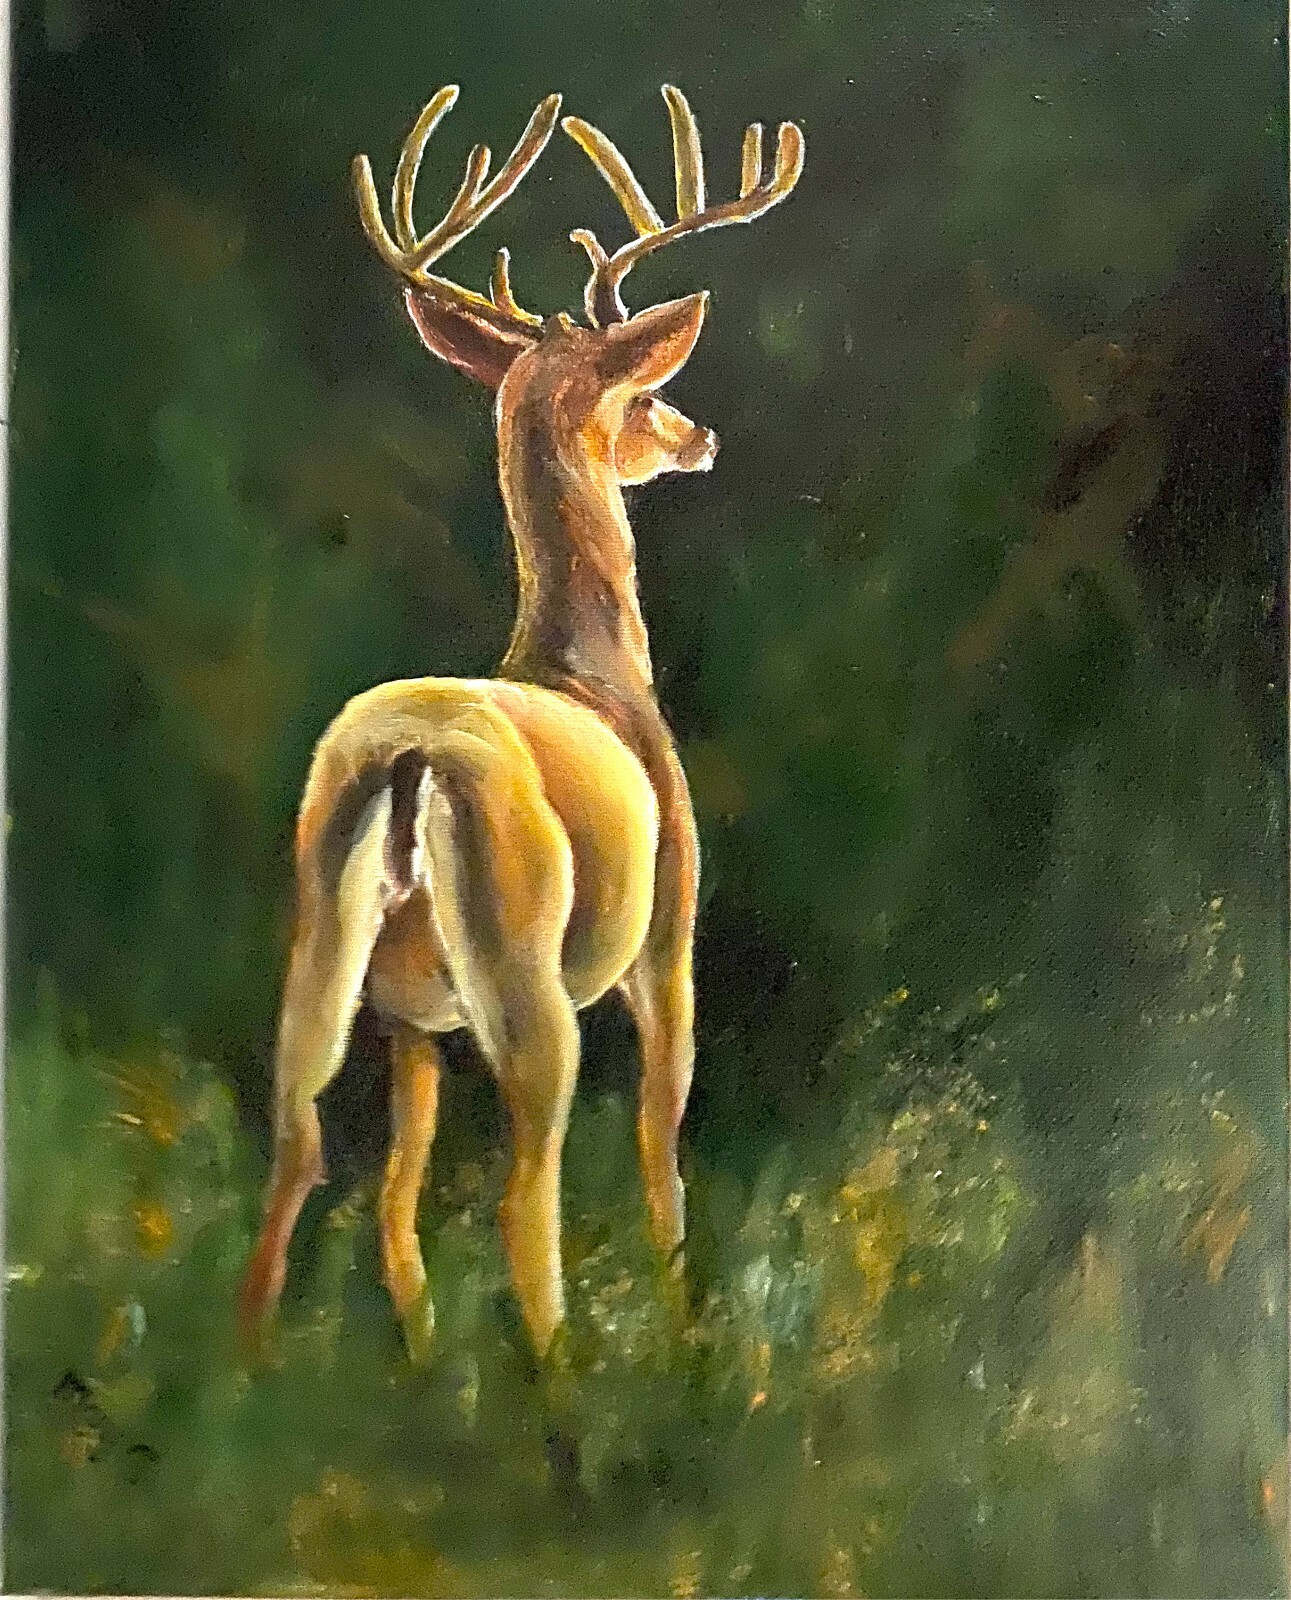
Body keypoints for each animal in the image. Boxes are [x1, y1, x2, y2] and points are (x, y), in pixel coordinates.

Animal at [238, 81, 804, 1364]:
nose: (697, 435)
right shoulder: (669, 931)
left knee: (300, 1153)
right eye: (641, 392)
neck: (590, 671)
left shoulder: (412, 1019)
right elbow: (661, 1142)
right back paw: (563, 1388)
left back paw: (242, 1375)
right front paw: (685, 1322)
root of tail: (408, 762)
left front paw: (418, 1355)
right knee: (522, 1195)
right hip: (526, 959)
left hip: (323, 941)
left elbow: (398, 1199)